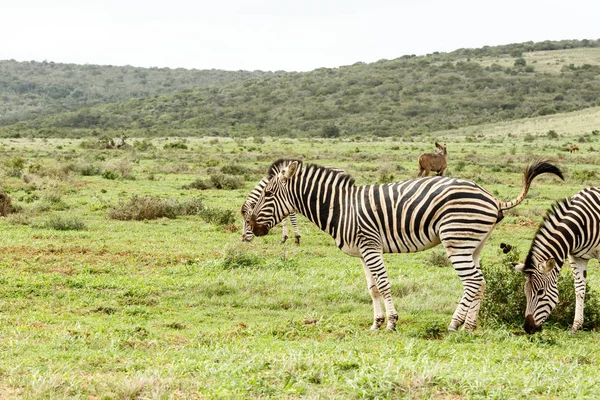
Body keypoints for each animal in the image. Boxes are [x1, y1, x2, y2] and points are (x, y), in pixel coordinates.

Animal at [247, 159, 564, 332]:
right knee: (480, 283)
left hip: (456, 240)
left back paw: (457, 325)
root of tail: (491, 197)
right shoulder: (362, 252)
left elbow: (384, 285)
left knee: (474, 281)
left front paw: (391, 322)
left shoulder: (371, 245)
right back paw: (467, 325)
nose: (251, 227)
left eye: (268, 194)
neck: (342, 208)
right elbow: (372, 288)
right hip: (474, 244)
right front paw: (375, 323)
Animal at [512, 188, 600, 334]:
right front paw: (575, 326)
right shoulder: (577, 257)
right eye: (525, 292)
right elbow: (579, 290)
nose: (527, 328)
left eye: (540, 292)